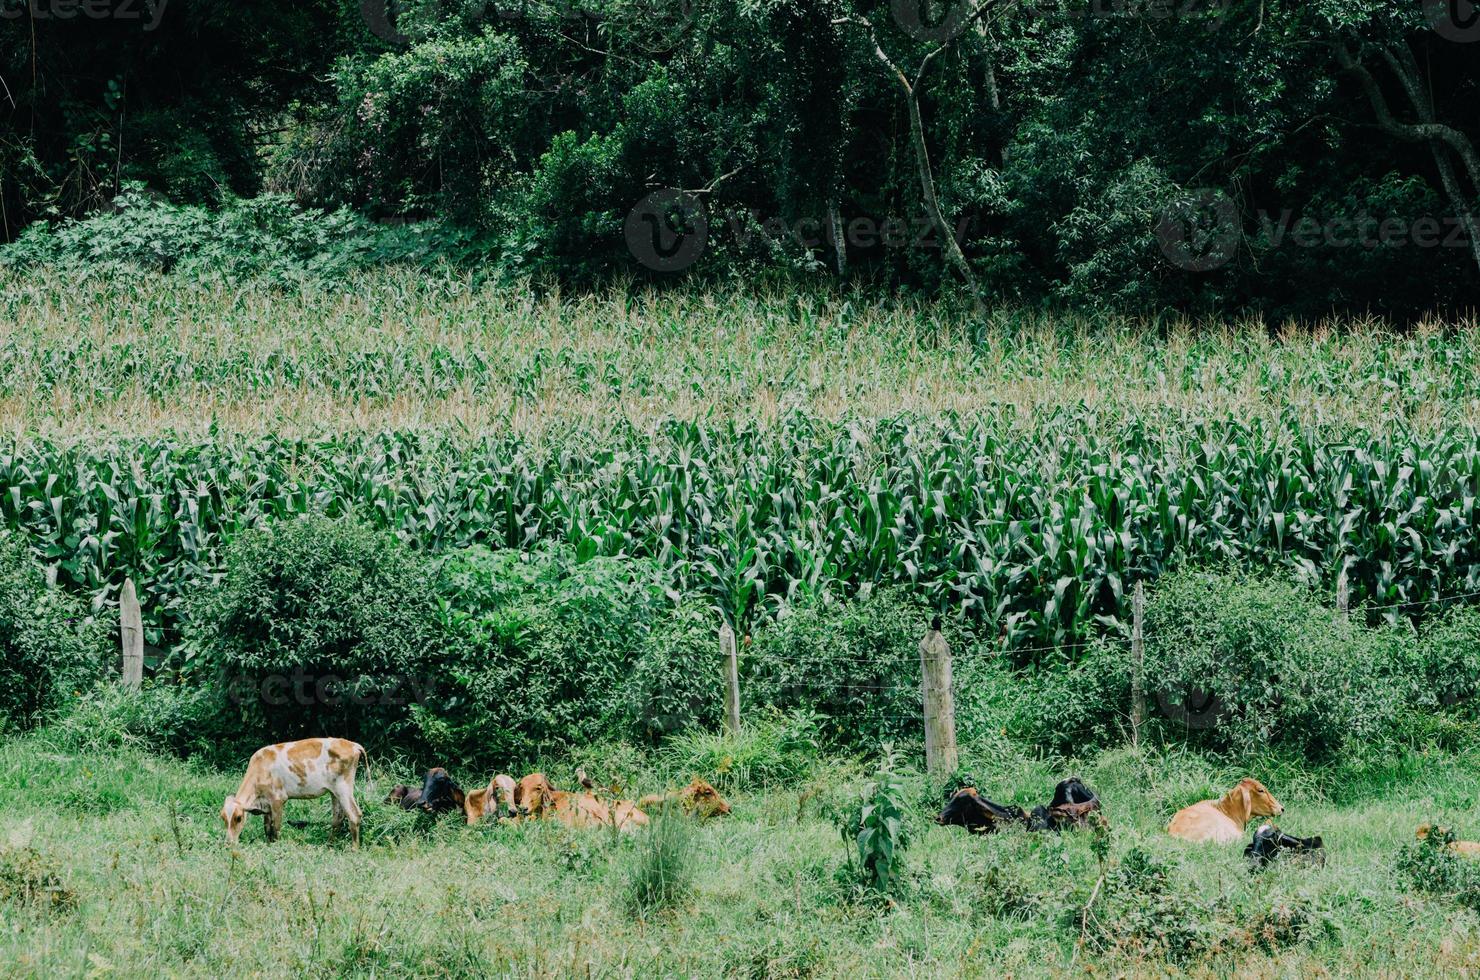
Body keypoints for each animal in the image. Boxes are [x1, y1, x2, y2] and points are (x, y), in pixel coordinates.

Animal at [222, 740, 367, 846]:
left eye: (239, 818)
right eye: (223, 818)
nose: (229, 843)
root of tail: (352, 744)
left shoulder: (278, 800)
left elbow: (276, 828)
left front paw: (275, 846)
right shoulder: (267, 806)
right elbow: (267, 828)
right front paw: (268, 844)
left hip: (343, 788)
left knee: (354, 815)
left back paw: (354, 849)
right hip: (334, 791)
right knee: (338, 817)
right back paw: (329, 844)